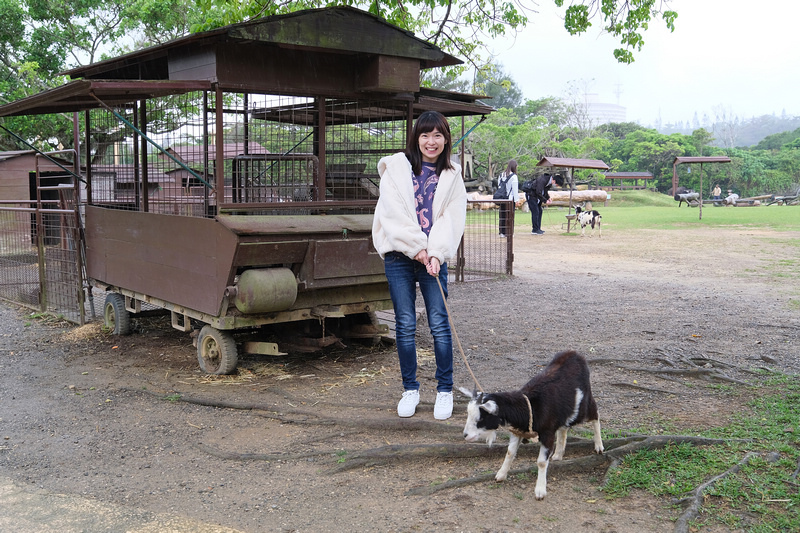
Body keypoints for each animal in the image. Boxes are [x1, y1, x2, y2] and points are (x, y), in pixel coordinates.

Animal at [460, 350, 604, 498]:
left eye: (480, 418)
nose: (465, 435)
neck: (530, 406)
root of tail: (574, 353)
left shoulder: (547, 433)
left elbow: (541, 462)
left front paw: (540, 491)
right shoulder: (518, 430)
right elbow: (510, 452)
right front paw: (500, 475)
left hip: (583, 404)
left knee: (595, 414)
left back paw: (599, 446)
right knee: (564, 427)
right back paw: (558, 454)